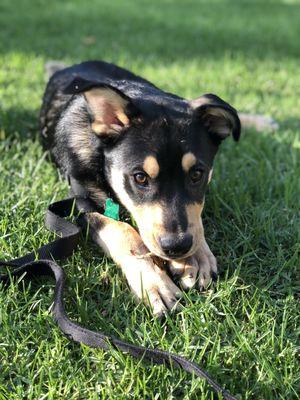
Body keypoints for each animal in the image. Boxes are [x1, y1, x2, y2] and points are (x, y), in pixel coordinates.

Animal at [39, 60, 241, 316]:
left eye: (197, 174)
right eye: (140, 178)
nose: (177, 247)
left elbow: (196, 219)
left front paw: (197, 256)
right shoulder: (82, 203)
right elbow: (122, 231)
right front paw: (153, 282)